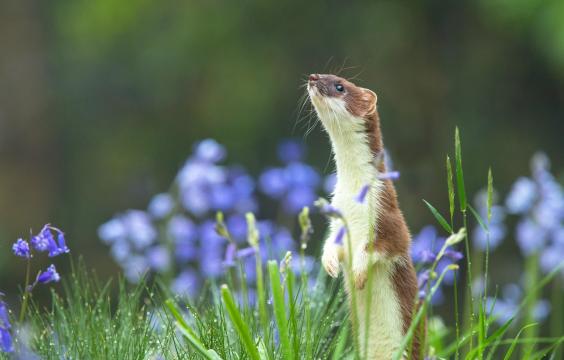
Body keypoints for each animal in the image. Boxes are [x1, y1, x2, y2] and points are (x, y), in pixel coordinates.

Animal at [308, 74, 418, 360]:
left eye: (340, 86)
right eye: (322, 74)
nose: (312, 77)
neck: (353, 198)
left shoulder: (388, 216)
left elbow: (385, 245)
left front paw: (358, 272)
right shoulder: (337, 217)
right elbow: (331, 244)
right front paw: (330, 264)